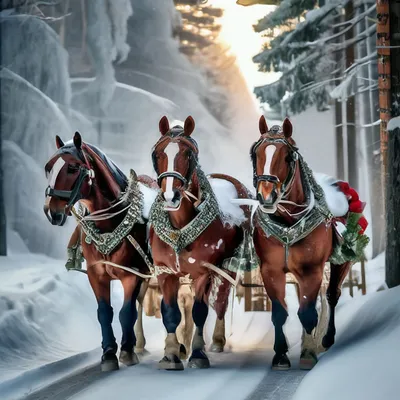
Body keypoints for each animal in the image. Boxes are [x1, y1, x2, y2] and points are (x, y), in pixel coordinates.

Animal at [43, 132, 156, 372]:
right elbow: (105, 313)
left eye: (72, 168)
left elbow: (126, 312)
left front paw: (127, 351)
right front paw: (109, 353)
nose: (51, 211)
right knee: (141, 302)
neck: (110, 223)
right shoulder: (97, 275)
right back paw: (140, 343)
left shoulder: (132, 274)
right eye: (48, 168)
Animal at [150, 115, 250, 372]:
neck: (180, 227)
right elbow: (171, 313)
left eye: (188, 154)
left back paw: (217, 340)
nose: (170, 196)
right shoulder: (165, 272)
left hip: (227, 267)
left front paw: (197, 353)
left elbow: (199, 311)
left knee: (221, 301)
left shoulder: (204, 272)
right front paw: (171, 354)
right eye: (158, 153)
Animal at [252, 117, 352, 370]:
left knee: (332, 295)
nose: (266, 196)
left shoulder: (311, 269)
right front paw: (280, 355)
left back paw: (325, 338)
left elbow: (307, 312)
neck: (288, 224)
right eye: (255, 153)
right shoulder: (271, 270)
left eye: (288, 156)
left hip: (342, 261)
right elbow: (280, 312)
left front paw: (308, 352)